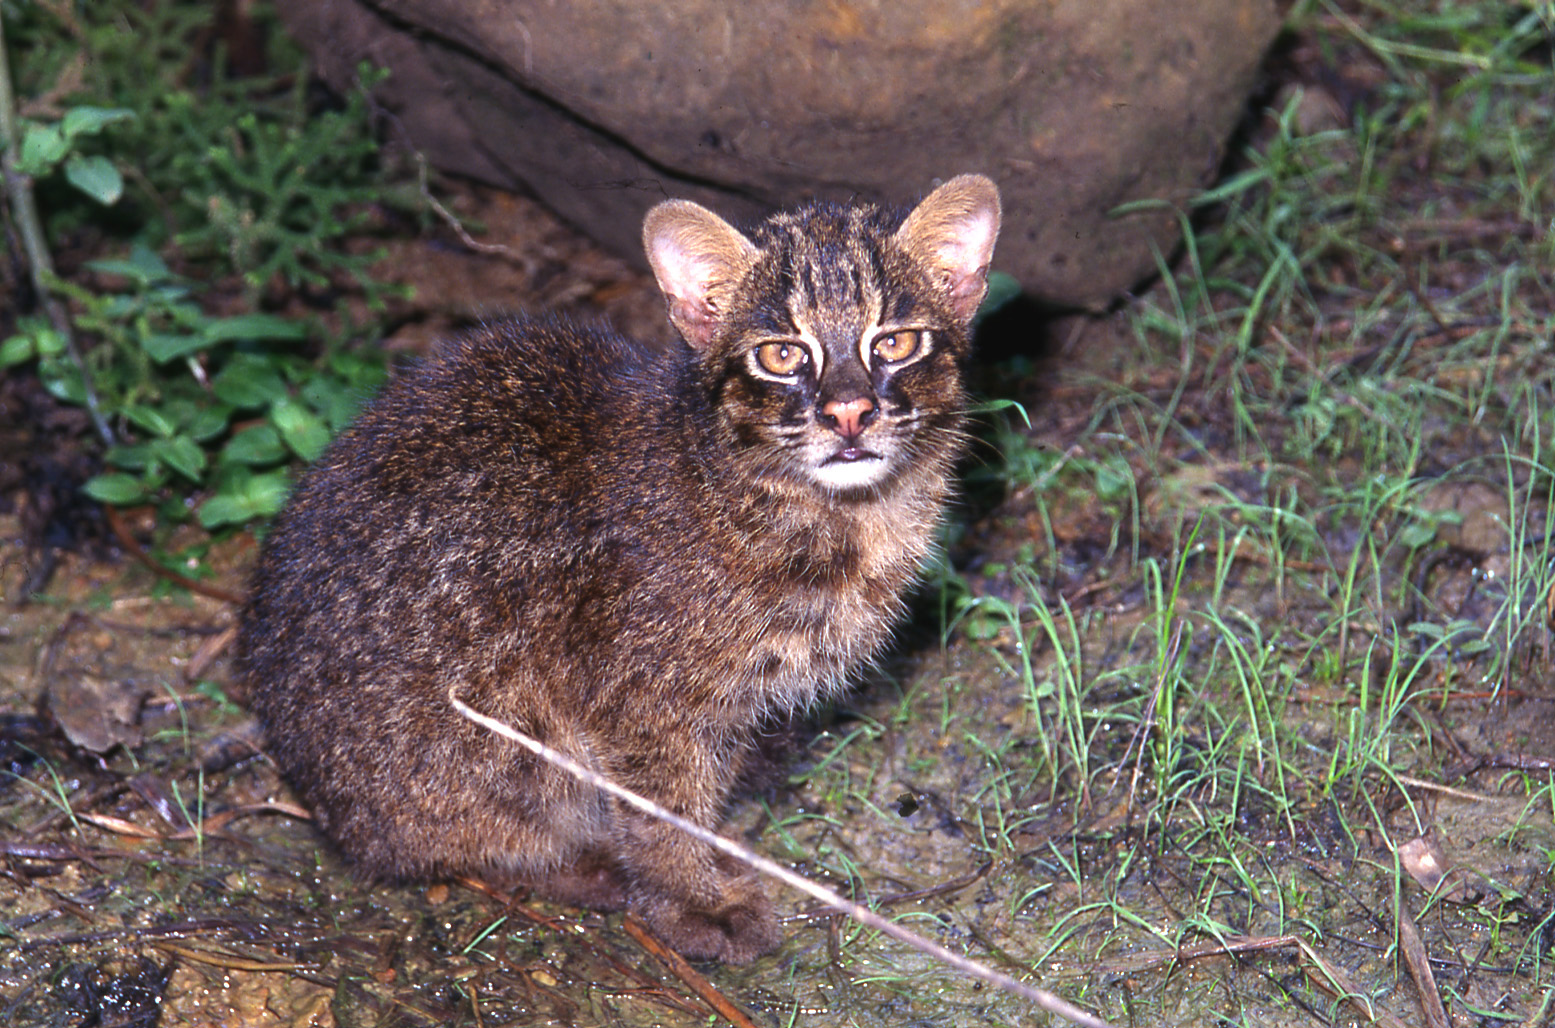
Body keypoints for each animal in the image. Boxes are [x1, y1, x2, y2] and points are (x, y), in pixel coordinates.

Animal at [236, 172, 1001, 958]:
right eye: (781, 355)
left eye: (897, 342)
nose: (848, 411)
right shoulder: (640, 701)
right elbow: (663, 812)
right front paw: (695, 903)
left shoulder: (723, 709)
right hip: (497, 724)